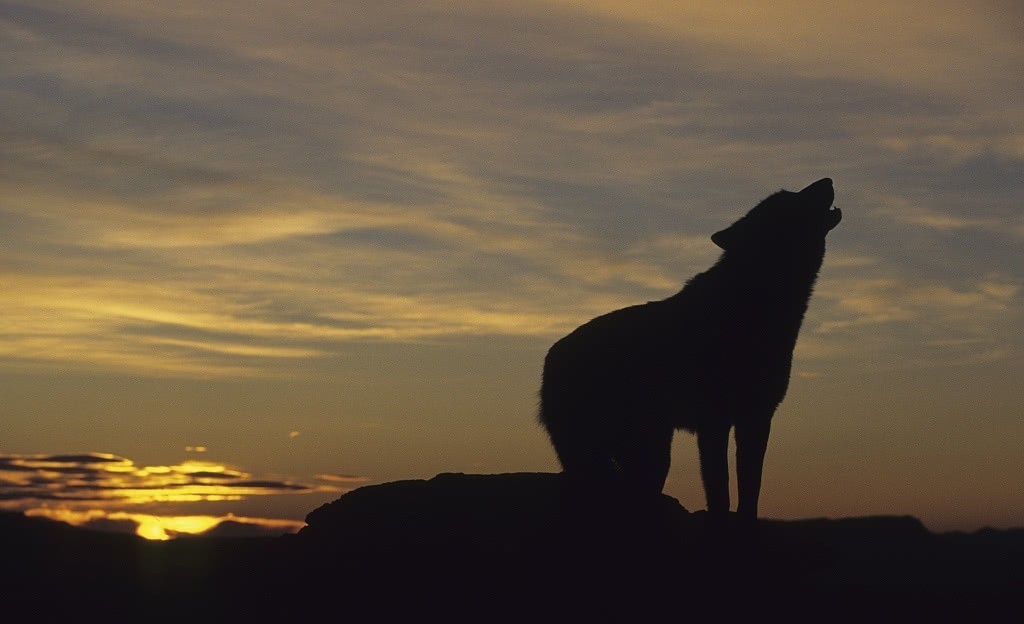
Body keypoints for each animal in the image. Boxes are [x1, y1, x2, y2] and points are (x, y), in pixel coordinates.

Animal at [540, 179, 843, 520]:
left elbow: (751, 485)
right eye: (789, 199)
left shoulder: (756, 417)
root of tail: (551, 356)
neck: (754, 301)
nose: (828, 180)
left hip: (649, 452)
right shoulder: (714, 420)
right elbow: (719, 487)